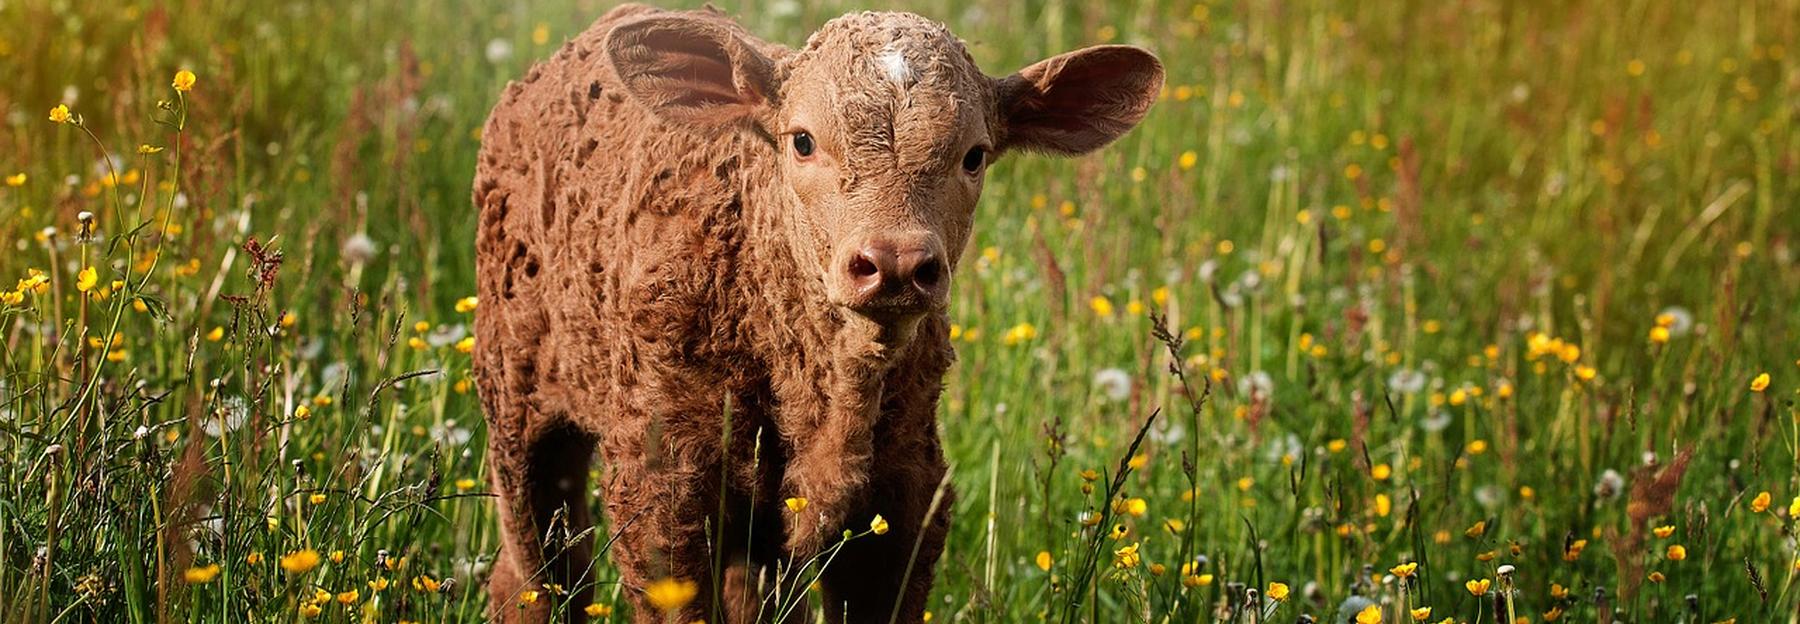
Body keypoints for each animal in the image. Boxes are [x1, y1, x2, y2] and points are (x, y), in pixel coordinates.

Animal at [471, 3, 1159, 622]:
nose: (896, 261)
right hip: (515, 405)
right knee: (538, 574)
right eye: (802, 141)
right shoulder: (660, 488)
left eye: (974, 155)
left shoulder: (907, 496)